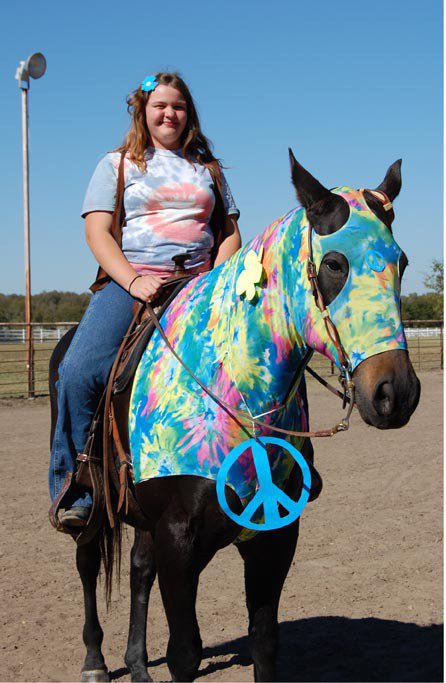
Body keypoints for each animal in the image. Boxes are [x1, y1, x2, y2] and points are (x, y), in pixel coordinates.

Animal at [50, 152, 420, 680]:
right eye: (334, 263)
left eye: (401, 262)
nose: (396, 393)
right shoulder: (178, 541)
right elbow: (185, 653)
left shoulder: (273, 539)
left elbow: (264, 641)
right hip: (92, 499)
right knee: (86, 562)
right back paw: (96, 661)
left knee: (139, 570)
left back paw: (137, 662)